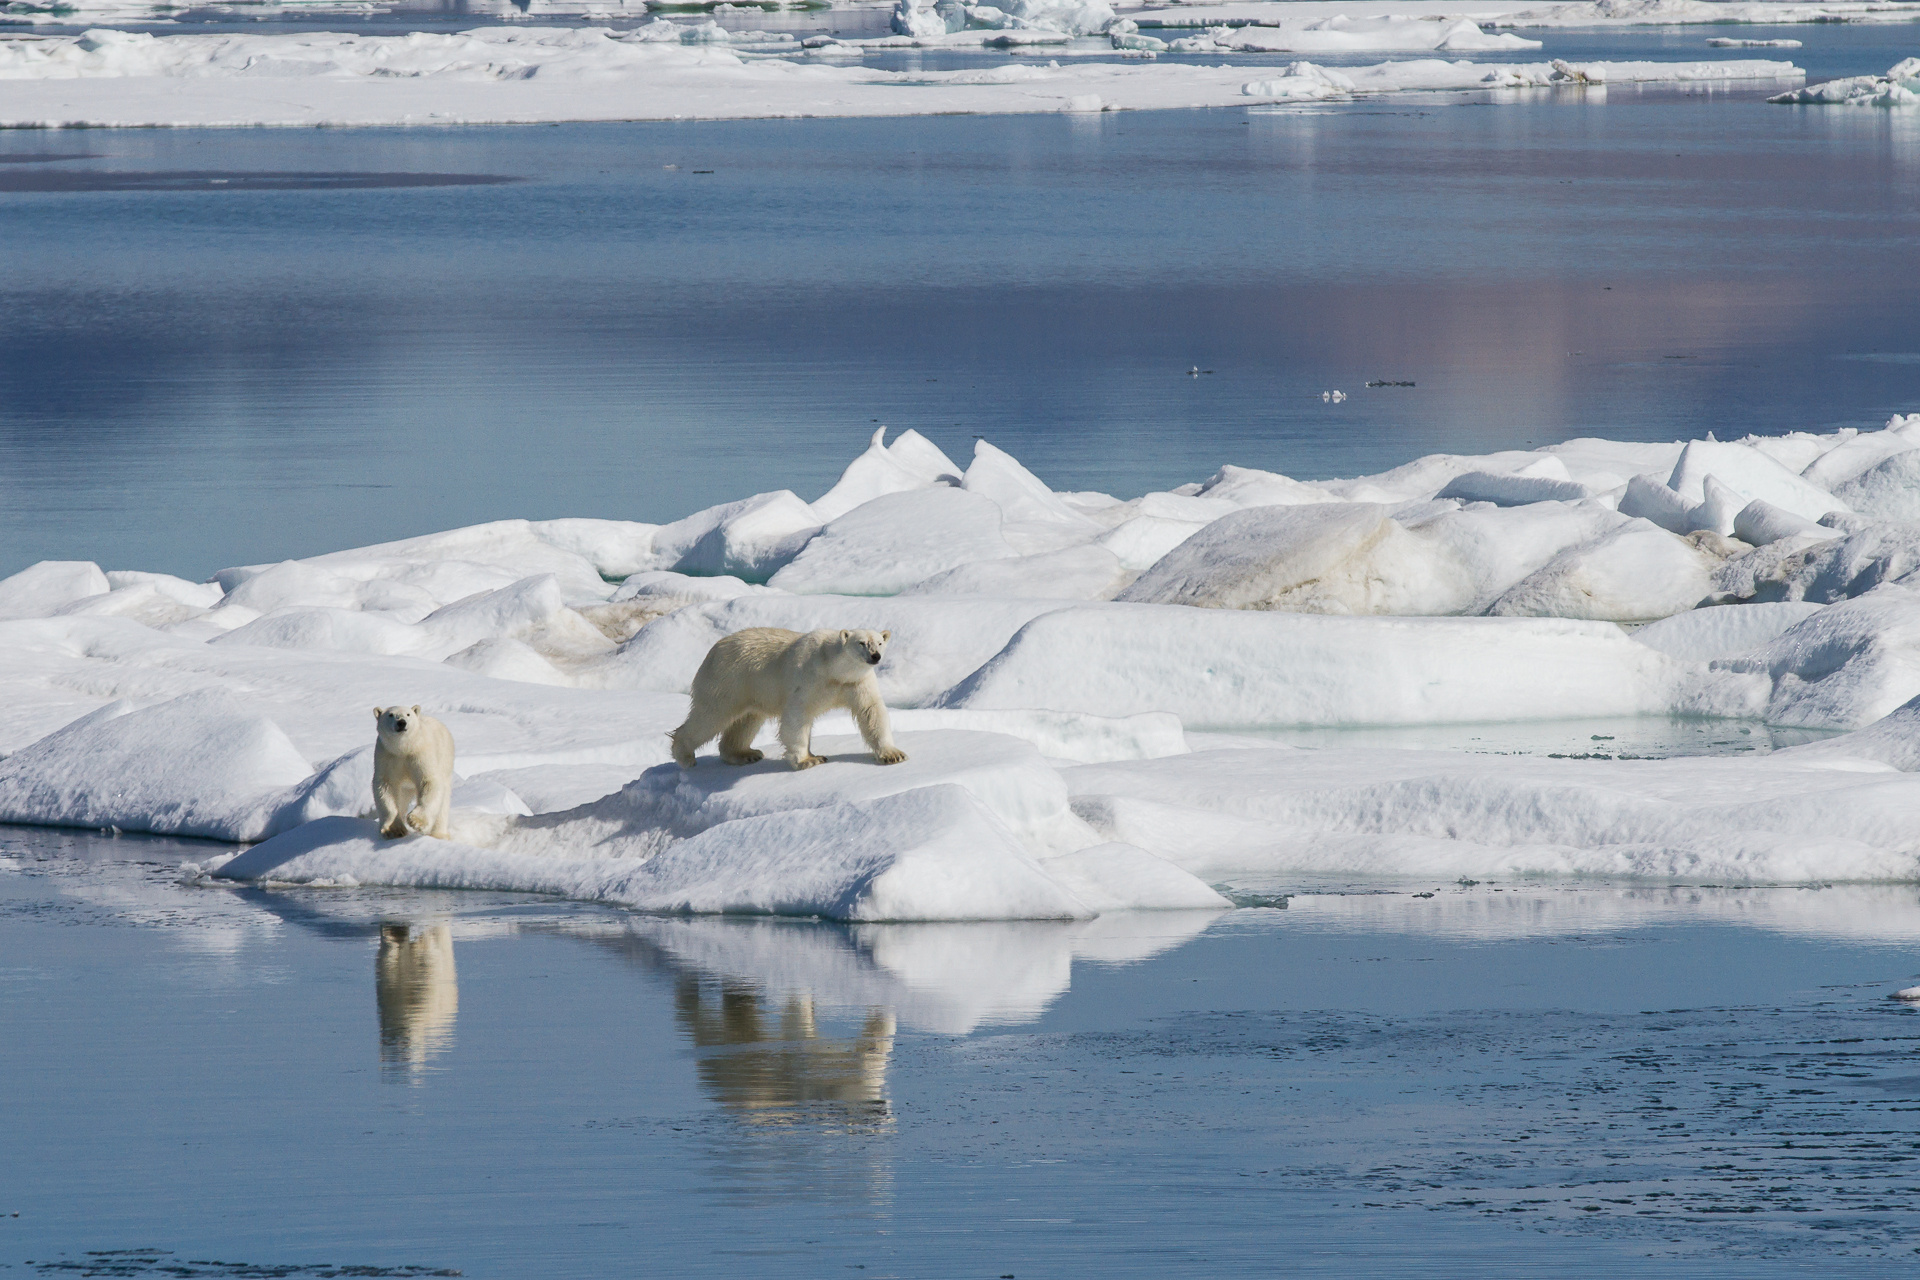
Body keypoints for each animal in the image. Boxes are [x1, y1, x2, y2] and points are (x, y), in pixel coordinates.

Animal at [672, 629, 910, 771]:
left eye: (879, 642)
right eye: (861, 643)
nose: (875, 656)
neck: (833, 668)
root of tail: (711, 652)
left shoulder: (857, 682)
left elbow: (871, 712)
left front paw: (893, 755)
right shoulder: (809, 677)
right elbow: (797, 715)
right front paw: (810, 759)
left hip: (751, 690)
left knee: (747, 720)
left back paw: (745, 754)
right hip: (728, 681)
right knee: (710, 716)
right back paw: (684, 755)